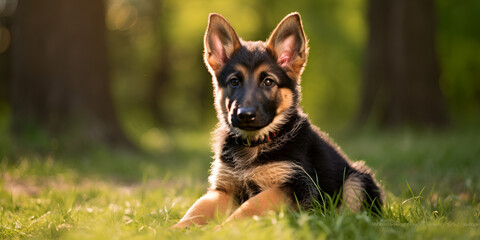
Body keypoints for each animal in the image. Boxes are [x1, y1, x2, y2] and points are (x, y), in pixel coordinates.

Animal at [172, 11, 382, 229]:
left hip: (357, 179)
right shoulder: (224, 189)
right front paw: (174, 229)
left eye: (268, 82)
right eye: (234, 81)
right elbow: (196, 209)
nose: (245, 114)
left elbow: (250, 207)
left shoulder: (292, 186)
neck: (255, 144)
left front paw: (223, 228)